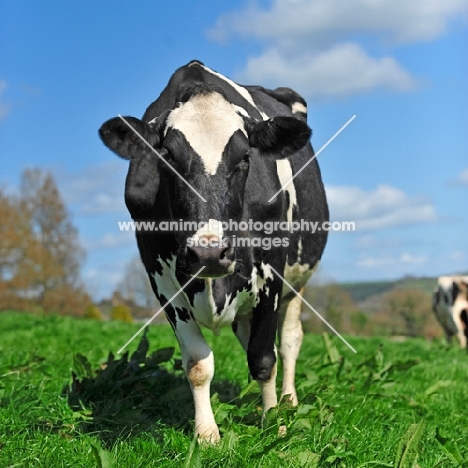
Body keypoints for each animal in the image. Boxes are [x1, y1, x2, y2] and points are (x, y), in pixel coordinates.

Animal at [98, 60, 330, 440]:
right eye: (167, 157)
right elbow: (197, 363)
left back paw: (288, 402)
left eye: (245, 156)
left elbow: (264, 357)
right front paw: (206, 434)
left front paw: (273, 423)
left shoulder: (272, 270)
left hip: (298, 280)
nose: (208, 254)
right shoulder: (161, 277)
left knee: (289, 339)